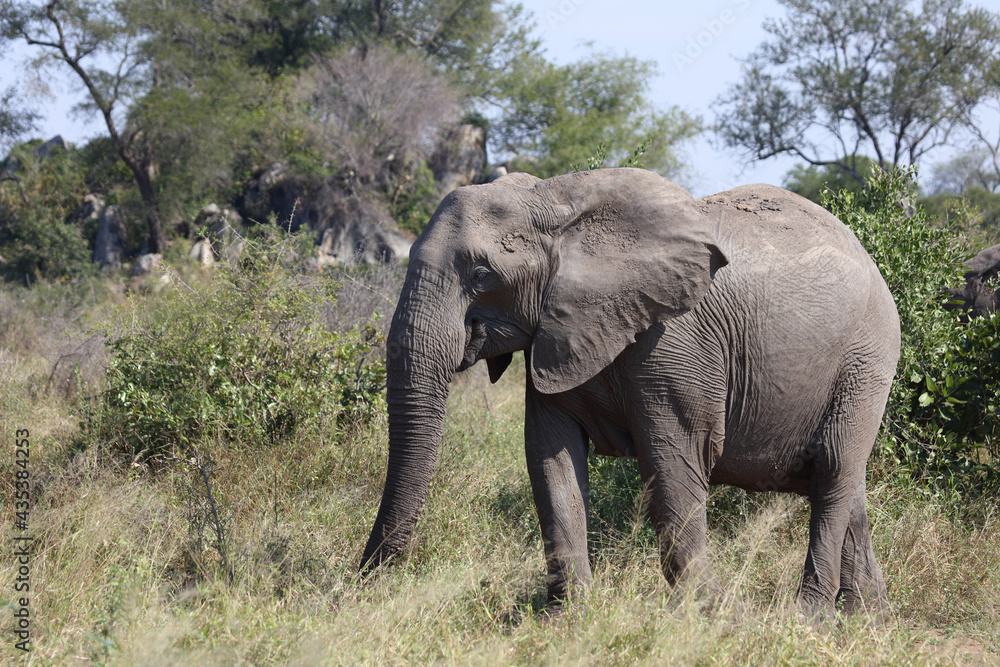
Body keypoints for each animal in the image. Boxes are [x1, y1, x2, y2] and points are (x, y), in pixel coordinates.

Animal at [360, 170, 900, 620]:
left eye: (480, 275)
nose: (362, 583)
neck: (556, 202)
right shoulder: (554, 335)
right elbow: (550, 462)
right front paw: (564, 620)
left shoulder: (676, 342)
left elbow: (672, 464)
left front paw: (707, 617)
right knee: (845, 484)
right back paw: (867, 617)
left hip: (866, 361)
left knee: (833, 472)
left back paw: (809, 618)